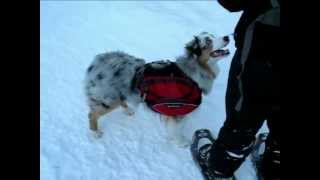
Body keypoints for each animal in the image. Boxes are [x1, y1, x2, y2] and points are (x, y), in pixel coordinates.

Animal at [84, 31, 230, 146]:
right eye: (208, 41)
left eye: (213, 35)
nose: (227, 37)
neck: (191, 72)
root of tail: (95, 62)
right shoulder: (177, 110)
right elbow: (176, 130)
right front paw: (181, 143)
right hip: (107, 98)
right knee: (92, 114)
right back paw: (95, 132)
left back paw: (128, 111)